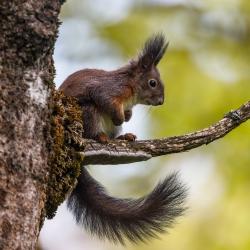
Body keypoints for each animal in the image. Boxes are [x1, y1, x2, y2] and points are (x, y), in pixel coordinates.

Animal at [59, 34, 188, 245]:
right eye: (153, 83)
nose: (161, 101)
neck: (132, 94)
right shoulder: (108, 90)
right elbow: (105, 100)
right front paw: (120, 116)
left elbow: (126, 113)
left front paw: (127, 116)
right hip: (88, 112)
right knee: (92, 127)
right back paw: (100, 137)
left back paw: (124, 136)